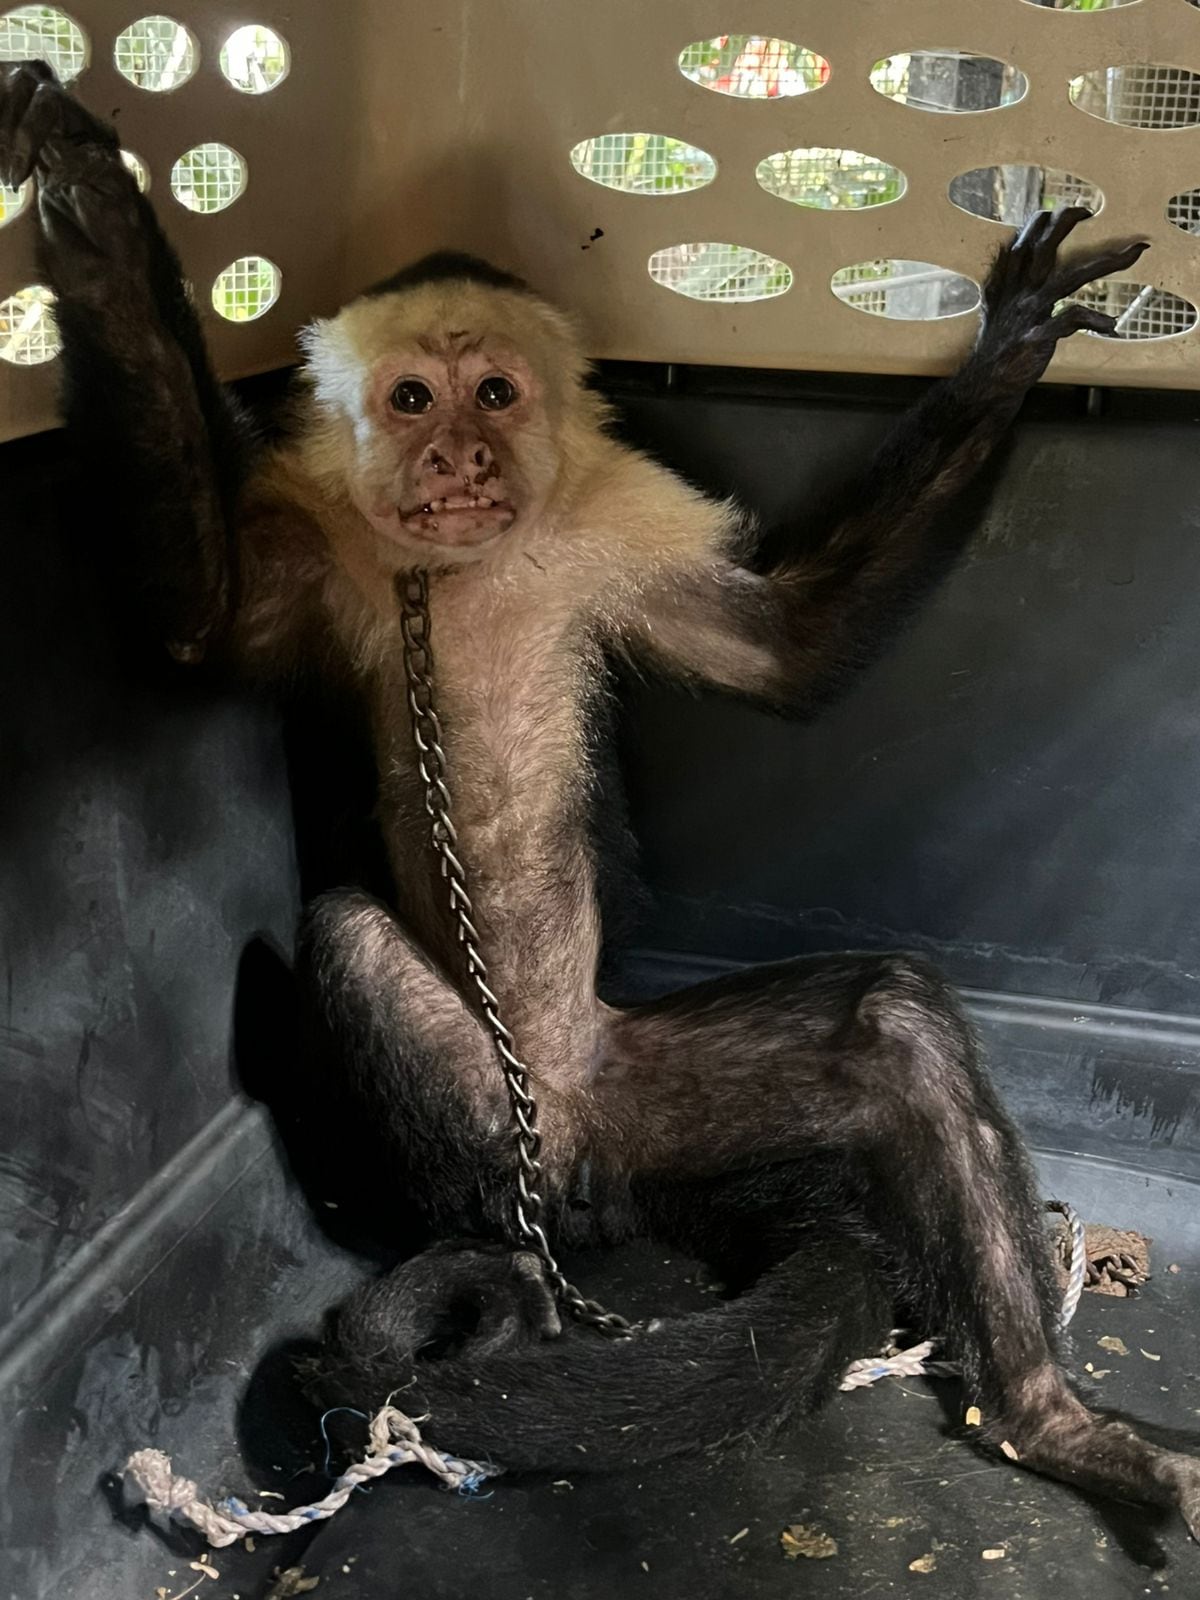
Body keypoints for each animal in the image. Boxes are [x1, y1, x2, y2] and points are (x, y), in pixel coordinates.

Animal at [5, 59, 1200, 1536]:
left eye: (496, 392)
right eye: (415, 399)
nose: (461, 459)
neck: (470, 557)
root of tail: (573, 1155)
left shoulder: (623, 520)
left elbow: (783, 646)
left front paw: (1013, 343)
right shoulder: (317, 540)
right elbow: (193, 624)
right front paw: (99, 223)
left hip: (647, 1098)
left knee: (896, 1028)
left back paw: (1044, 1416)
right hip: (492, 1112)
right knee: (352, 942)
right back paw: (505, 1254)